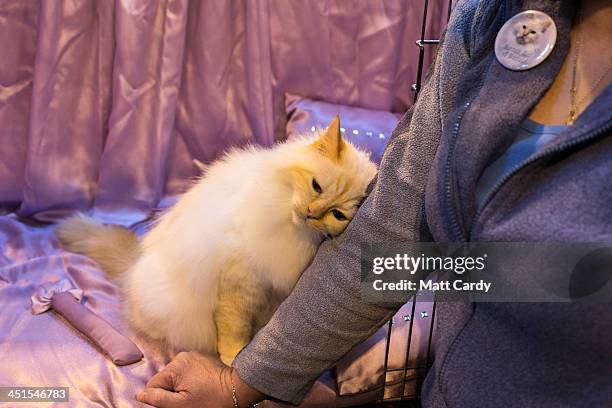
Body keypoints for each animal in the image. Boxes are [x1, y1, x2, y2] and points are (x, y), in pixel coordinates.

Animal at [57, 116, 376, 364]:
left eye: (337, 214)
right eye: (316, 186)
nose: (311, 213)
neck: (294, 232)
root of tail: (134, 265)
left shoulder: (269, 291)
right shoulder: (240, 283)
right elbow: (234, 328)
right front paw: (233, 357)